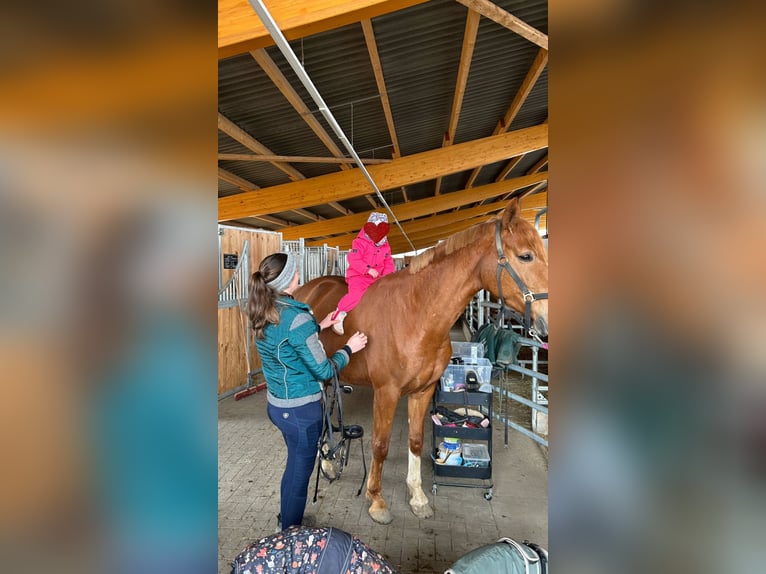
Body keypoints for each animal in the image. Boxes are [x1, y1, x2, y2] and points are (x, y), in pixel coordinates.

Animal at [294, 200, 544, 524]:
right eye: (526, 255)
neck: (416, 313)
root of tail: (306, 289)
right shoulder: (386, 393)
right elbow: (381, 445)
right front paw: (377, 500)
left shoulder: (423, 391)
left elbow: (415, 440)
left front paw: (418, 497)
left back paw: (329, 463)